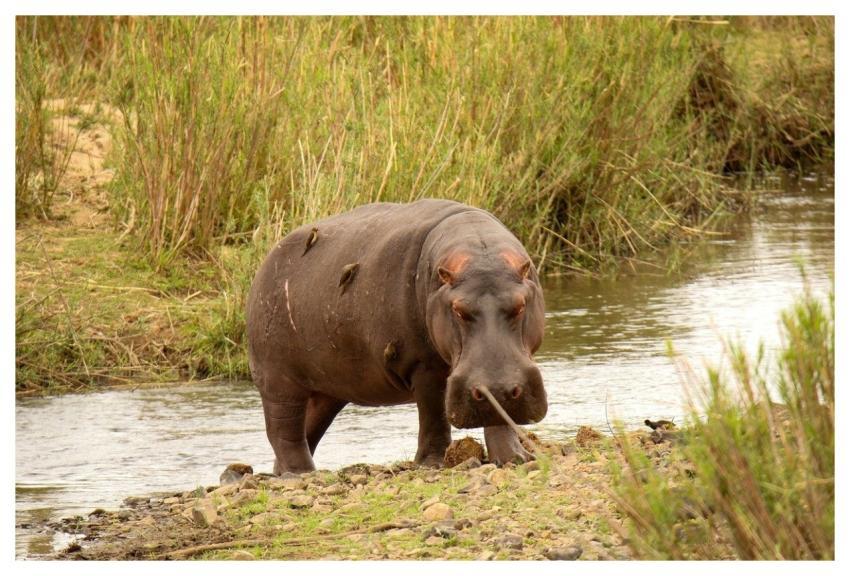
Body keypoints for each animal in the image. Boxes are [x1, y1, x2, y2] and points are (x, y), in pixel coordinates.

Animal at [246, 199, 547, 474]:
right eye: (458, 309)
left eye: (520, 305)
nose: (496, 388)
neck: (479, 252)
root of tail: (264, 263)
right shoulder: (424, 365)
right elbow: (433, 415)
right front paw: (432, 464)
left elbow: (498, 414)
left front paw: (515, 458)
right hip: (278, 381)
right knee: (284, 432)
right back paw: (300, 473)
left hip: (327, 389)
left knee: (306, 429)